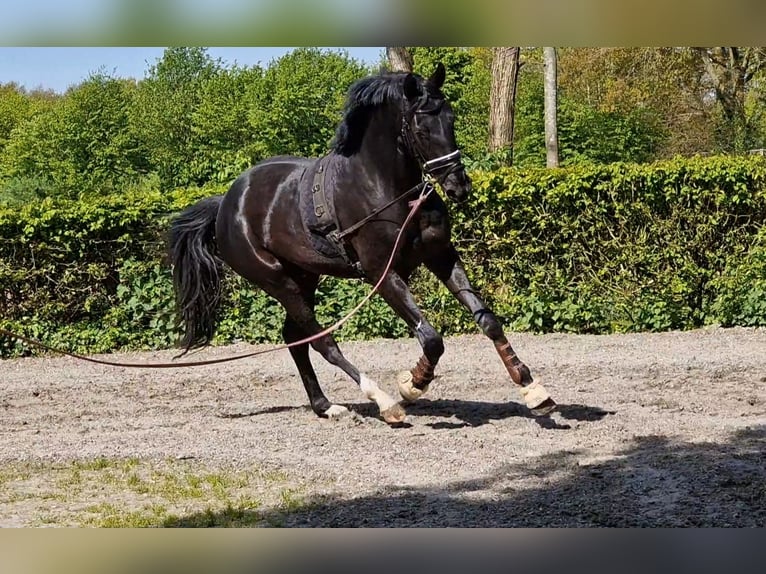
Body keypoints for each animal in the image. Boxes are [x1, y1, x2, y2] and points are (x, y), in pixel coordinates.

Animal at [171, 65, 560, 426]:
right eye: (422, 128)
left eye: (450, 119)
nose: (458, 186)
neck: (386, 189)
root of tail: (226, 203)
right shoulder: (381, 274)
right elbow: (431, 338)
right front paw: (412, 384)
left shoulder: (441, 256)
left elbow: (487, 320)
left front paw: (532, 389)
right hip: (278, 281)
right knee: (321, 341)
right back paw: (383, 402)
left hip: (304, 277)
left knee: (296, 338)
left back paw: (325, 406)